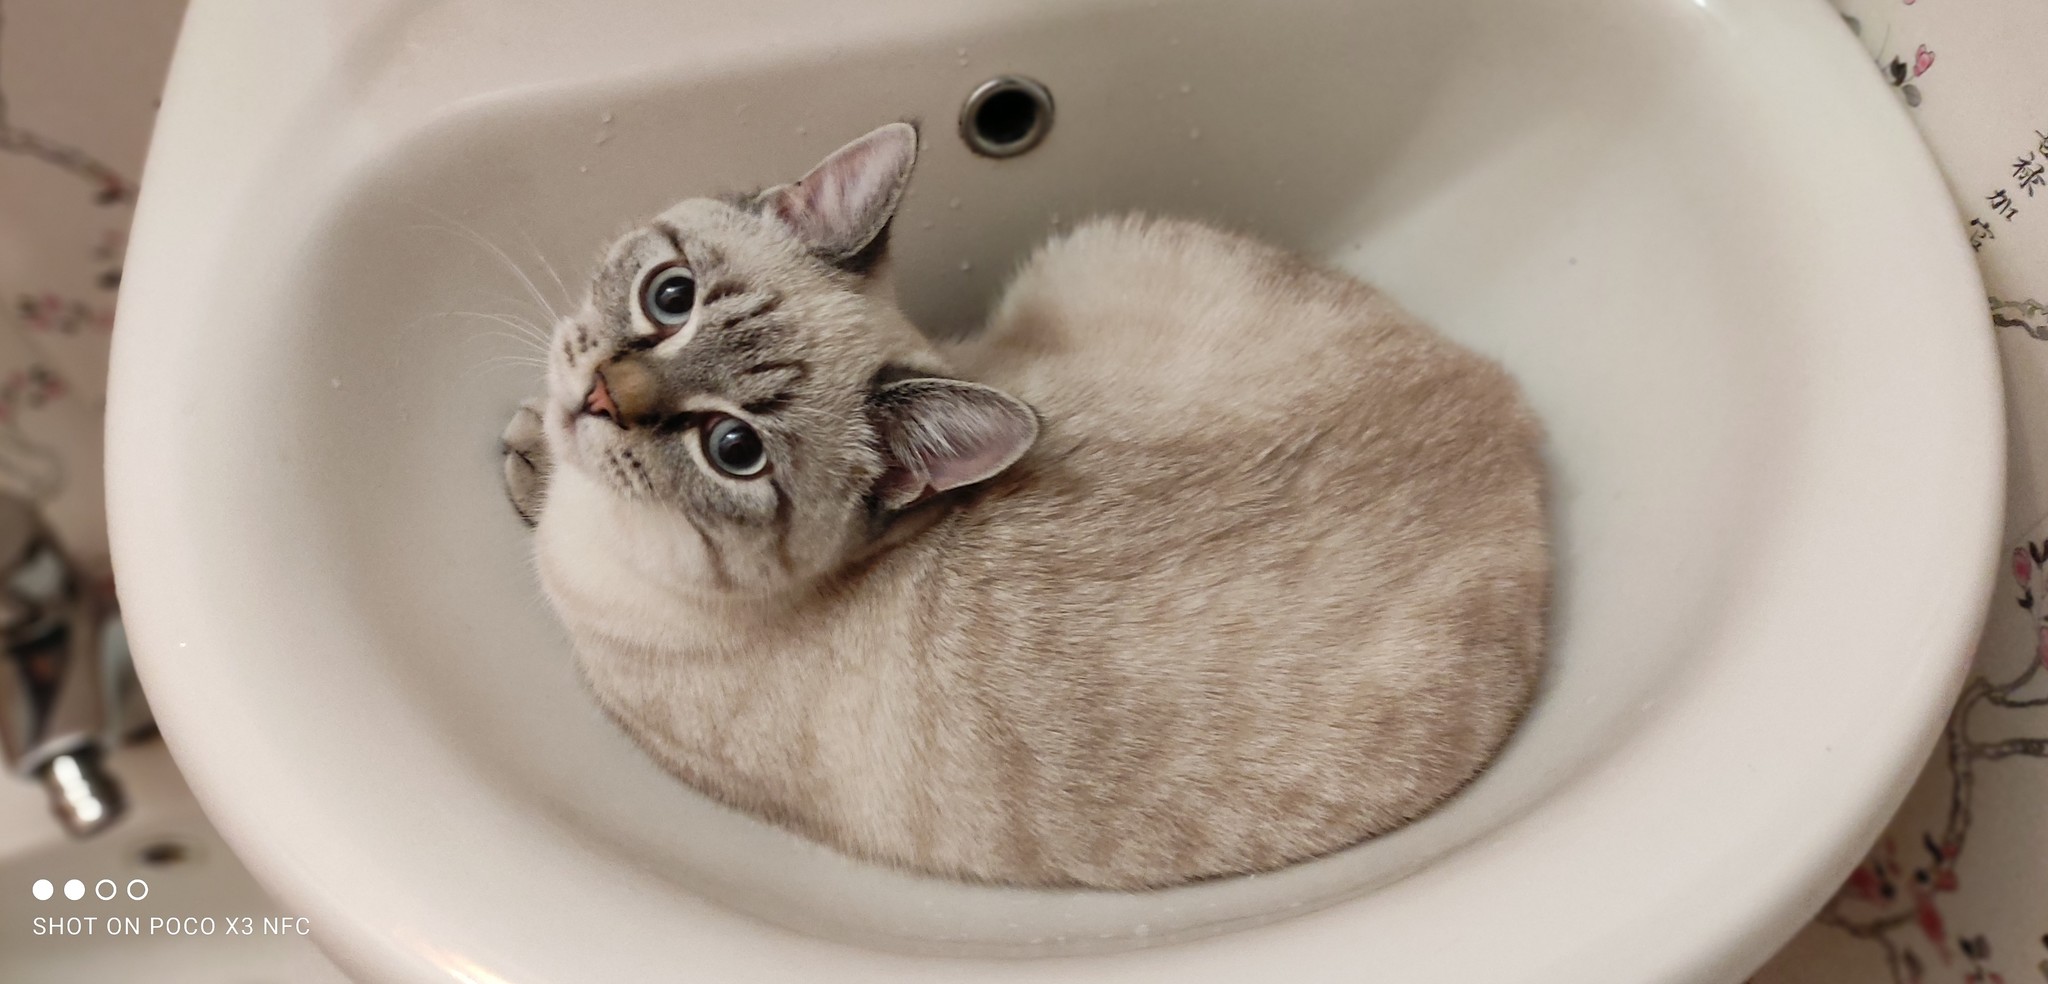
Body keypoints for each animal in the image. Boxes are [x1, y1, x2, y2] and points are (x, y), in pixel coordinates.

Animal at [503, 123, 1540, 893]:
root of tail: (1507, 404)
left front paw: (524, 464)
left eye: (733, 450)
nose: (600, 397)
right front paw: (529, 438)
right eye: (669, 296)